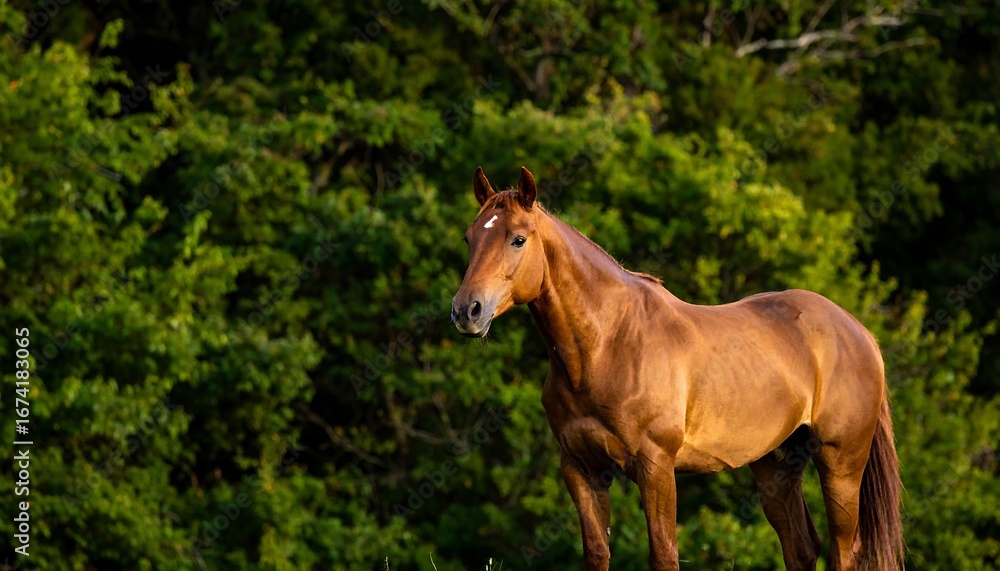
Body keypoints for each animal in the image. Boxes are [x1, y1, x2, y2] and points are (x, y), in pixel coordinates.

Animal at [451, 166, 904, 571]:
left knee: (845, 552)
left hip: (841, 463)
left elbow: (664, 555)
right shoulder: (581, 468)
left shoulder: (656, 466)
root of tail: (859, 332)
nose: (466, 310)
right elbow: (597, 554)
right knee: (801, 548)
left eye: (518, 239)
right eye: (470, 238)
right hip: (776, 465)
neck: (608, 344)